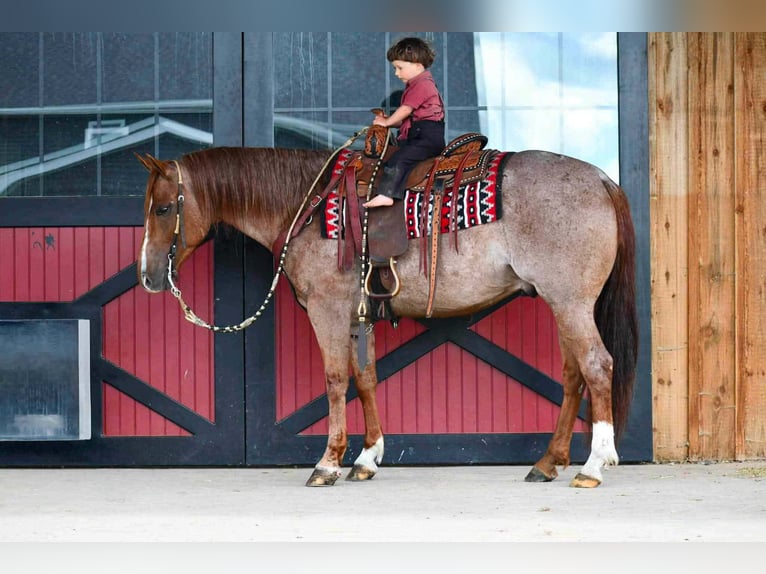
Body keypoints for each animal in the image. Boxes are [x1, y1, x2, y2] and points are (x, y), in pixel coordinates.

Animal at [136, 140, 637, 488]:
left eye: (162, 208)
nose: (146, 276)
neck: (306, 205)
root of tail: (600, 179)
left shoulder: (328, 309)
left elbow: (336, 379)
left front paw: (328, 463)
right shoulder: (358, 316)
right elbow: (365, 378)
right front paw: (365, 458)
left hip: (570, 302)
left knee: (597, 366)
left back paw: (594, 465)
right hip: (563, 304)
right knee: (573, 375)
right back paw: (548, 463)